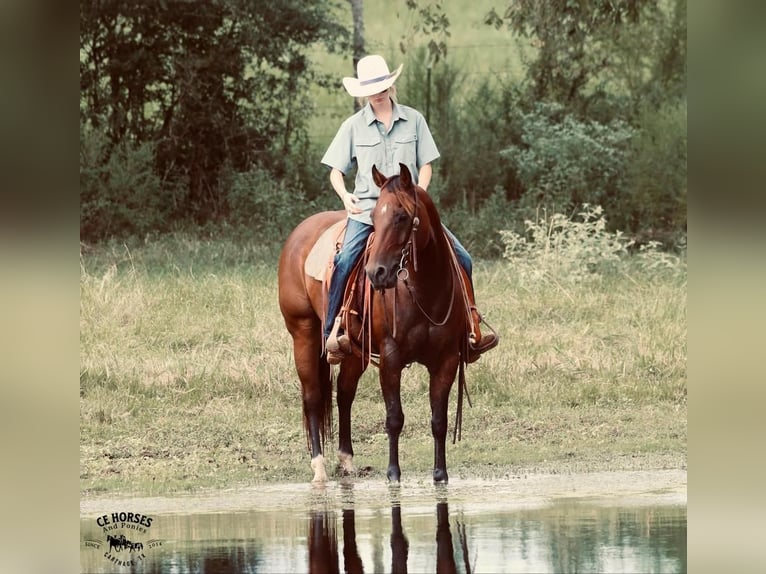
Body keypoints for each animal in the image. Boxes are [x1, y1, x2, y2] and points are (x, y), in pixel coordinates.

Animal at [280, 163, 474, 486]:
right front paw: (393, 474)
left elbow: (439, 419)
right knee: (313, 396)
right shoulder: (391, 358)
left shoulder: (446, 360)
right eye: (373, 218)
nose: (376, 272)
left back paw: (346, 461)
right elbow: (394, 418)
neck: (424, 292)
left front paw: (440, 475)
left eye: (402, 217)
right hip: (303, 333)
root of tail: (298, 234)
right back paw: (319, 468)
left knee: (344, 393)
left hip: (353, 350)